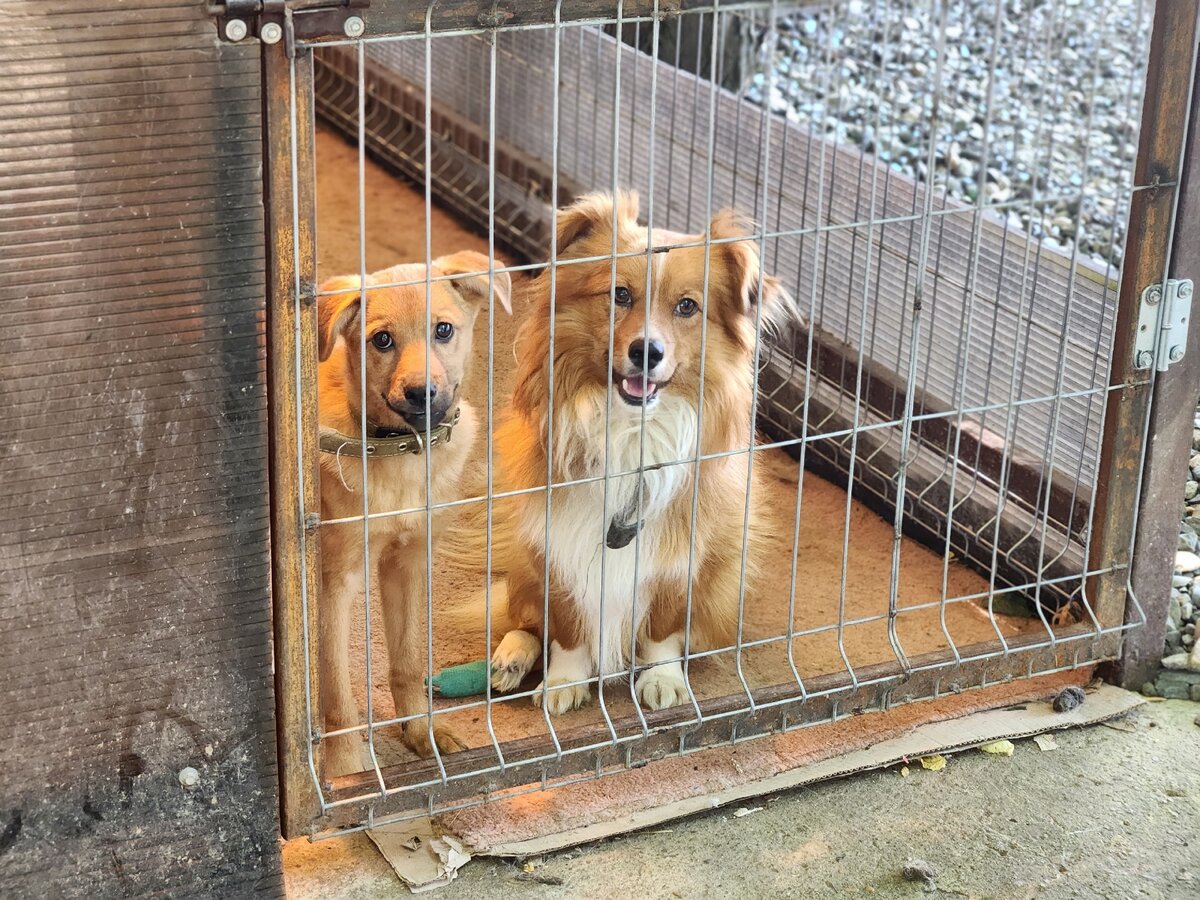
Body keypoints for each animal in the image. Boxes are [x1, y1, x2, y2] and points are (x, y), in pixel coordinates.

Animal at [316, 252, 508, 777]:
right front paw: (347, 770)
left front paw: (423, 733)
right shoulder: (336, 577)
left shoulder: (408, 561)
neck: (400, 452)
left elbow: (407, 661)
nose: (423, 393)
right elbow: (336, 688)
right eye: (381, 339)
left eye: (443, 330)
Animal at [482, 194, 792, 715]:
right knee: (523, 616)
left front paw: (662, 678)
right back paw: (512, 657)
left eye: (687, 306)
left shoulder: (679, 550)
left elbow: (663, 627)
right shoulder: (557, 540)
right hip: (525, 559)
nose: (647, 351)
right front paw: (564, 680)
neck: (630, 430)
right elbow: (566, 623)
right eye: (620, 295)